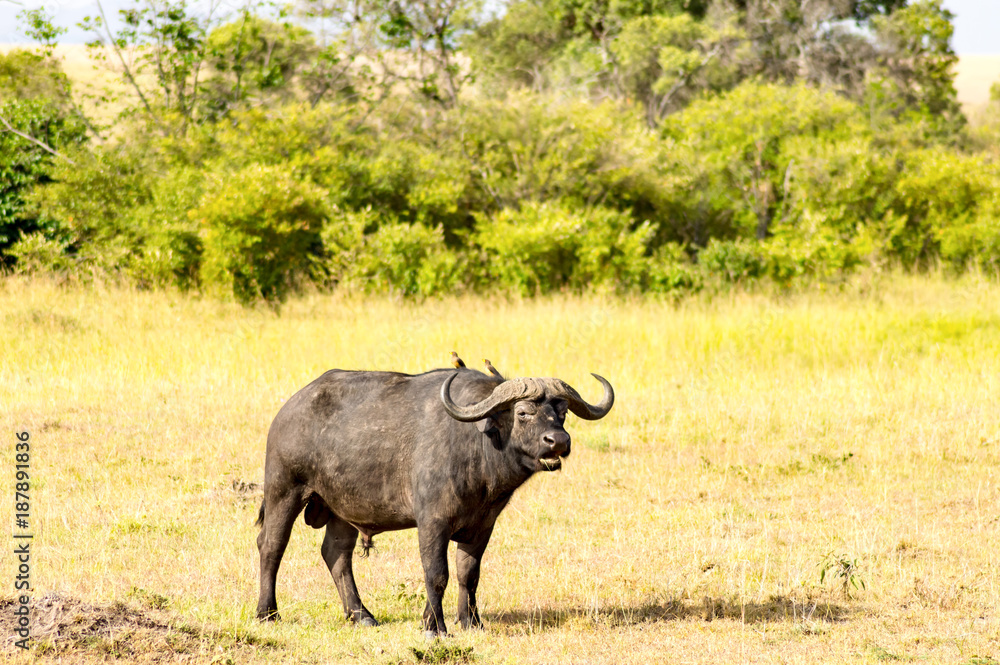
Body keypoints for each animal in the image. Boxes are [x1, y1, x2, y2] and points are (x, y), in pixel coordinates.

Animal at [254, 366, 612, 636]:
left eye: (562, 412)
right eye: (523, 412)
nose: (558, 442)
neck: (477, 446)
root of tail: (288, 410)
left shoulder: (482, 526)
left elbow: (468, 573)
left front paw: (470, 622)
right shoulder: (432, 523)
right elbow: (436, 573)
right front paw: (435, 626)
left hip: (343, 509)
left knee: (336, 554)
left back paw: (361, 615)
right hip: (283, 490)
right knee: (271, 545)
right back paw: (267, 612)